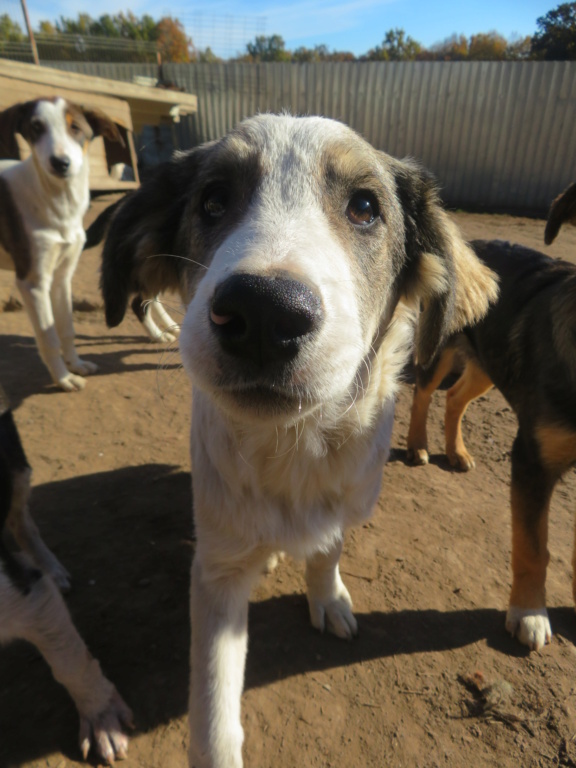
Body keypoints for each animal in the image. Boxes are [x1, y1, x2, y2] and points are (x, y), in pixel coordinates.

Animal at [0, 97, 124, 390]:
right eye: (36, 128)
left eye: (76, 128)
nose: (60, 163)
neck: (57, 201)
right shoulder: (33, 283)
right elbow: (49, 337)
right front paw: (64, 378)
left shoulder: (62, 276)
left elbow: (66, 328)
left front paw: (75, 365)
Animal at [0, 388, 132, 764]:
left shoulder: (28, 594)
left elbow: (70, 662)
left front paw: (103, 722)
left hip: (15, 466)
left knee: (22, 521)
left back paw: (53, 569)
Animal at [100, 111, 500, 764]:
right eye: (213, 200)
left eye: (365, 207)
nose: (264, 313)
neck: (294, 448)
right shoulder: (216, 571)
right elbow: (213, 713)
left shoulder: (345, 502)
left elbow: (327, 546)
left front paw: (326, 595)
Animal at [408, 183, 576, 652]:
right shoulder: (533, 460)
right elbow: (533, 547)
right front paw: (529, 614)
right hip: (440, 347)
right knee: (423, 395)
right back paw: (418, 447)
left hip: (487, 363)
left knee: (455, 399)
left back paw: (456, 452)